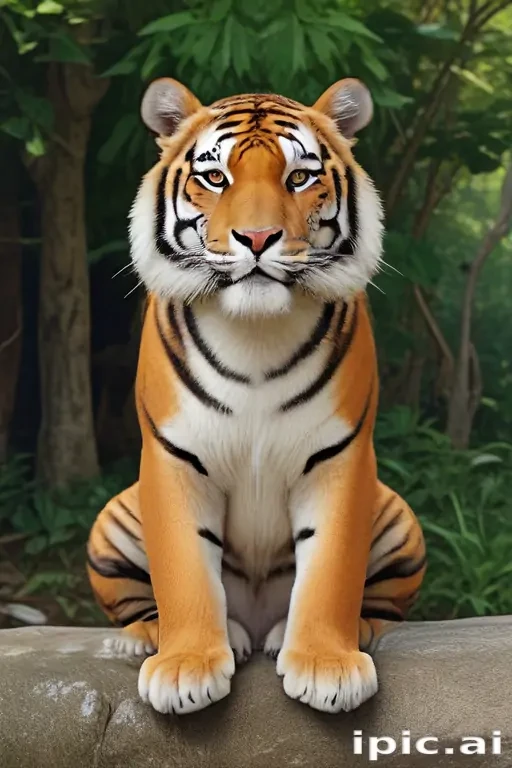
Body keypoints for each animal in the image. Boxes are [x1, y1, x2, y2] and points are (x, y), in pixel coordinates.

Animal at [87, 76, 426, 716]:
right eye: (215, 176)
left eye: (300, 177)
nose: (259, 238)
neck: (255, 335)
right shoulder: (172, 457)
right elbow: (183, 568)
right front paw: (186, 668)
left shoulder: (342, 456)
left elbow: (332, 568)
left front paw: (327, 666)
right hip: (113, 517)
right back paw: (151, 637)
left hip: (398, 516)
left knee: (379, 604)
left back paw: (346, 631)